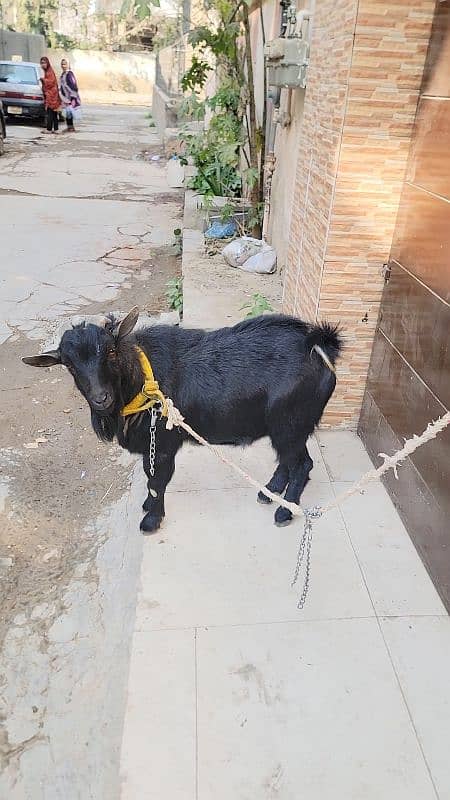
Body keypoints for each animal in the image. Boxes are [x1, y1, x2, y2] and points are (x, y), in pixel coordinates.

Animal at [22, 310, 342, 536]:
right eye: (68, 364)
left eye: (111, 350)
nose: (101, 398)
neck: (142, 380)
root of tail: (317, 347)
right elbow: (150, 478)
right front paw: (147, 507)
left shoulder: (163, 444)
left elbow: (157, 480)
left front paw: (151, 520)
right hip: (285, 428)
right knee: (288, 460)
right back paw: (269, 493)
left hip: (290, 423)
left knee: (302, 464)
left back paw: (285, 512)